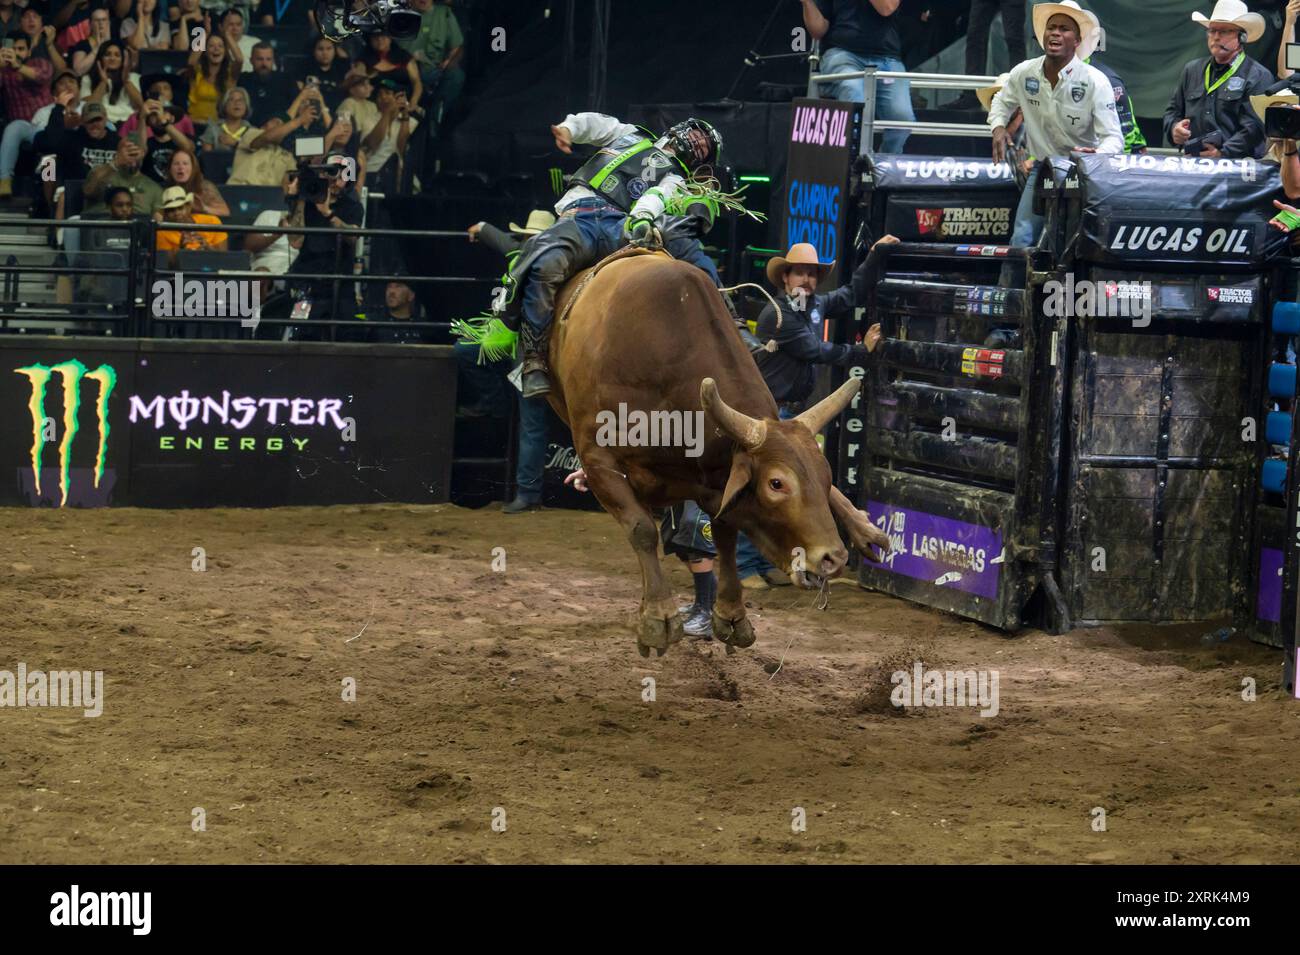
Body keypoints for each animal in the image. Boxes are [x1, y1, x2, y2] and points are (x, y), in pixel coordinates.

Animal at [548, 250, 894, 660]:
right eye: (776, 484)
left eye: (827, 478)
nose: (833, 558)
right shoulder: (597, 458)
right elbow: (642, 529)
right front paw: (658, 619)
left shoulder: (716, 478)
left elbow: (725, 533)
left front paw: (731, 616)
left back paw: (864, 528)